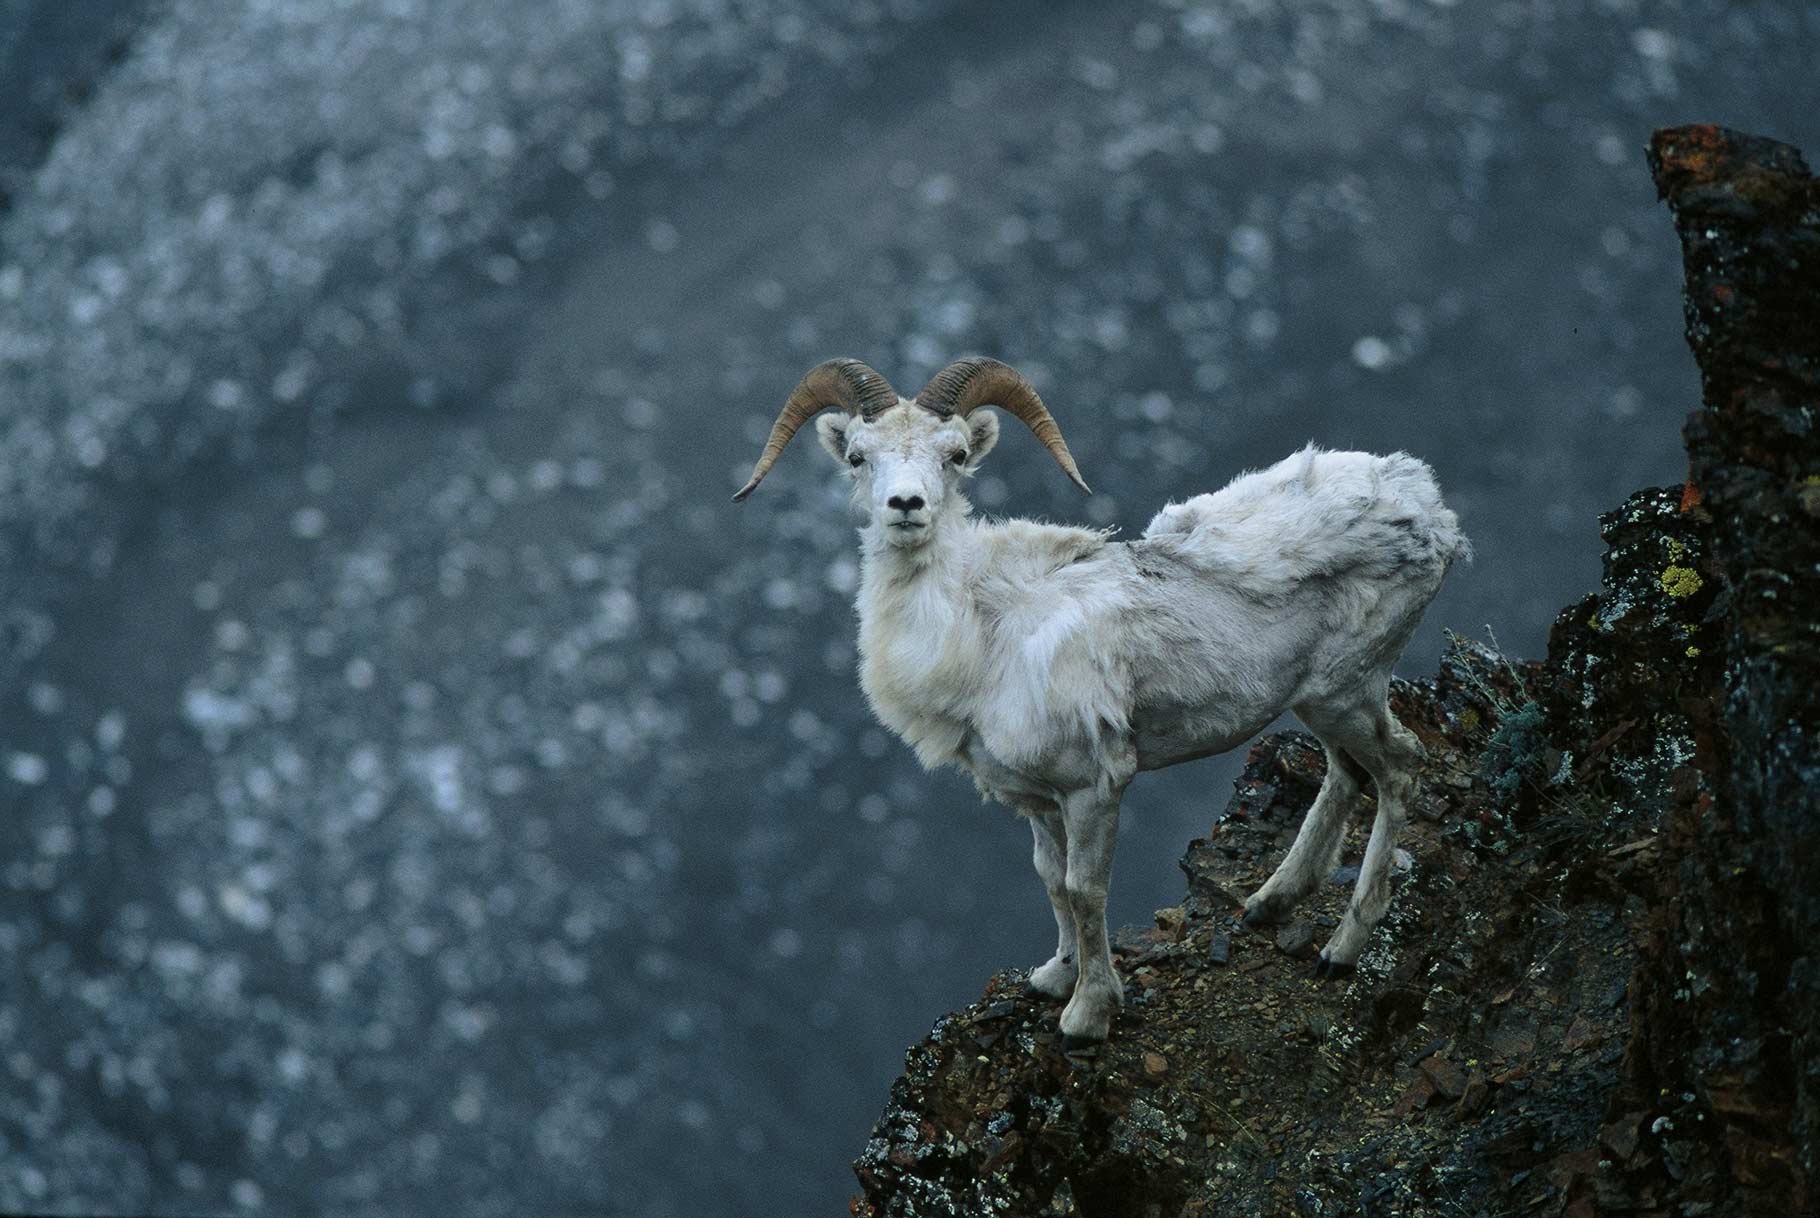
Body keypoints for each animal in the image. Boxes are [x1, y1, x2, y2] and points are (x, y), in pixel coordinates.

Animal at [733, 357, 1470, 1045]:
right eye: (859, 456)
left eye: (956, 455)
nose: (907, 505)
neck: (986, 632)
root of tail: (1427, 506)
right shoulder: (1037, 800)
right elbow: (1051, 879)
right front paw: (1054, 977)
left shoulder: (1094, 787)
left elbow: (1087, 891)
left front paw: (1088, 1015)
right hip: (1321, 703)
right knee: (1347, 774)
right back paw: (1269, 904)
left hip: (1348, 691)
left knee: (1399, 768)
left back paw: (1341, 950)